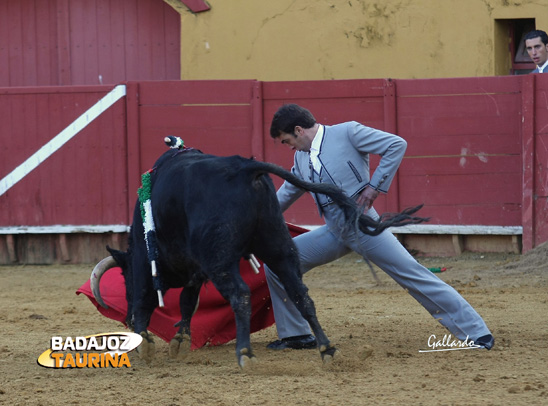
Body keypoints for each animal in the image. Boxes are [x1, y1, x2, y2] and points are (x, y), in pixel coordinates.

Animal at [90, 148, 426, 368]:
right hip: (278, 247)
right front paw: (179, 341)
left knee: (240, 294)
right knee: (301, 295)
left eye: (123, 279)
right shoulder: (197, 269)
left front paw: (144, 343)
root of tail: (245, 169)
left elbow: (148, 299)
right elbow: (187, 302)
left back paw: (245, 354)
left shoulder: (148, 263)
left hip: (221, 260)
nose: (125, 320)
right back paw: (327, 350)